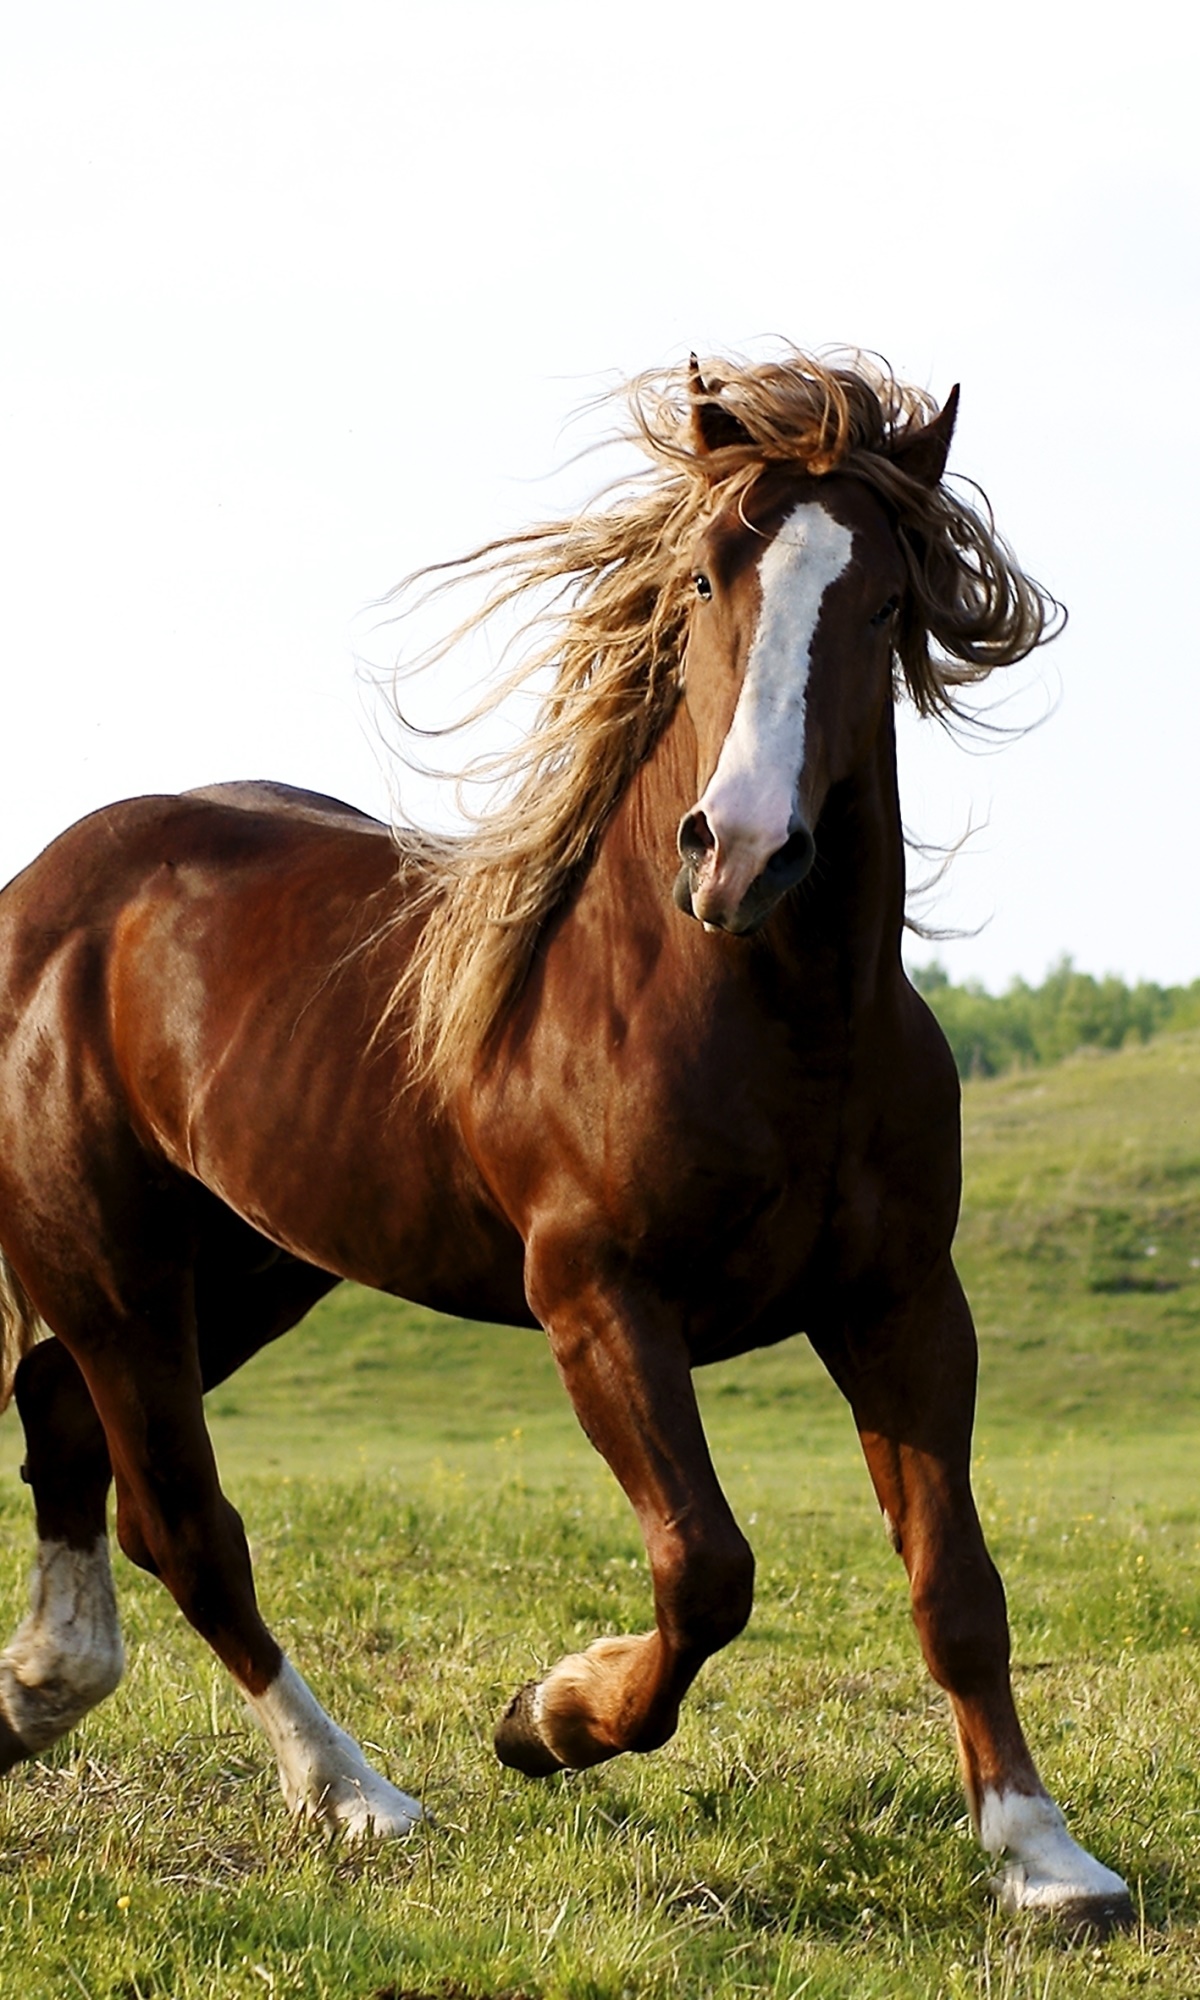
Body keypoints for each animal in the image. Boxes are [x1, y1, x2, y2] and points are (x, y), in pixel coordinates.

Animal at [0, 349, 1131, 1929]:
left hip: (247, 1267)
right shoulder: (597, 1296)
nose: (743, 851)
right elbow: (708, 1567)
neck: (763, 1009)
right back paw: (355, 1795)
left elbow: (955, 1583)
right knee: (184, 1524)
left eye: (887, 600)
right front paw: (548, 1717)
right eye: (707, 574)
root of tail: (44, 892)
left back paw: (32, 1697)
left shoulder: (902, 1301)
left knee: (63, 1427)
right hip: (111, 1271)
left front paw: (1043, 1854)